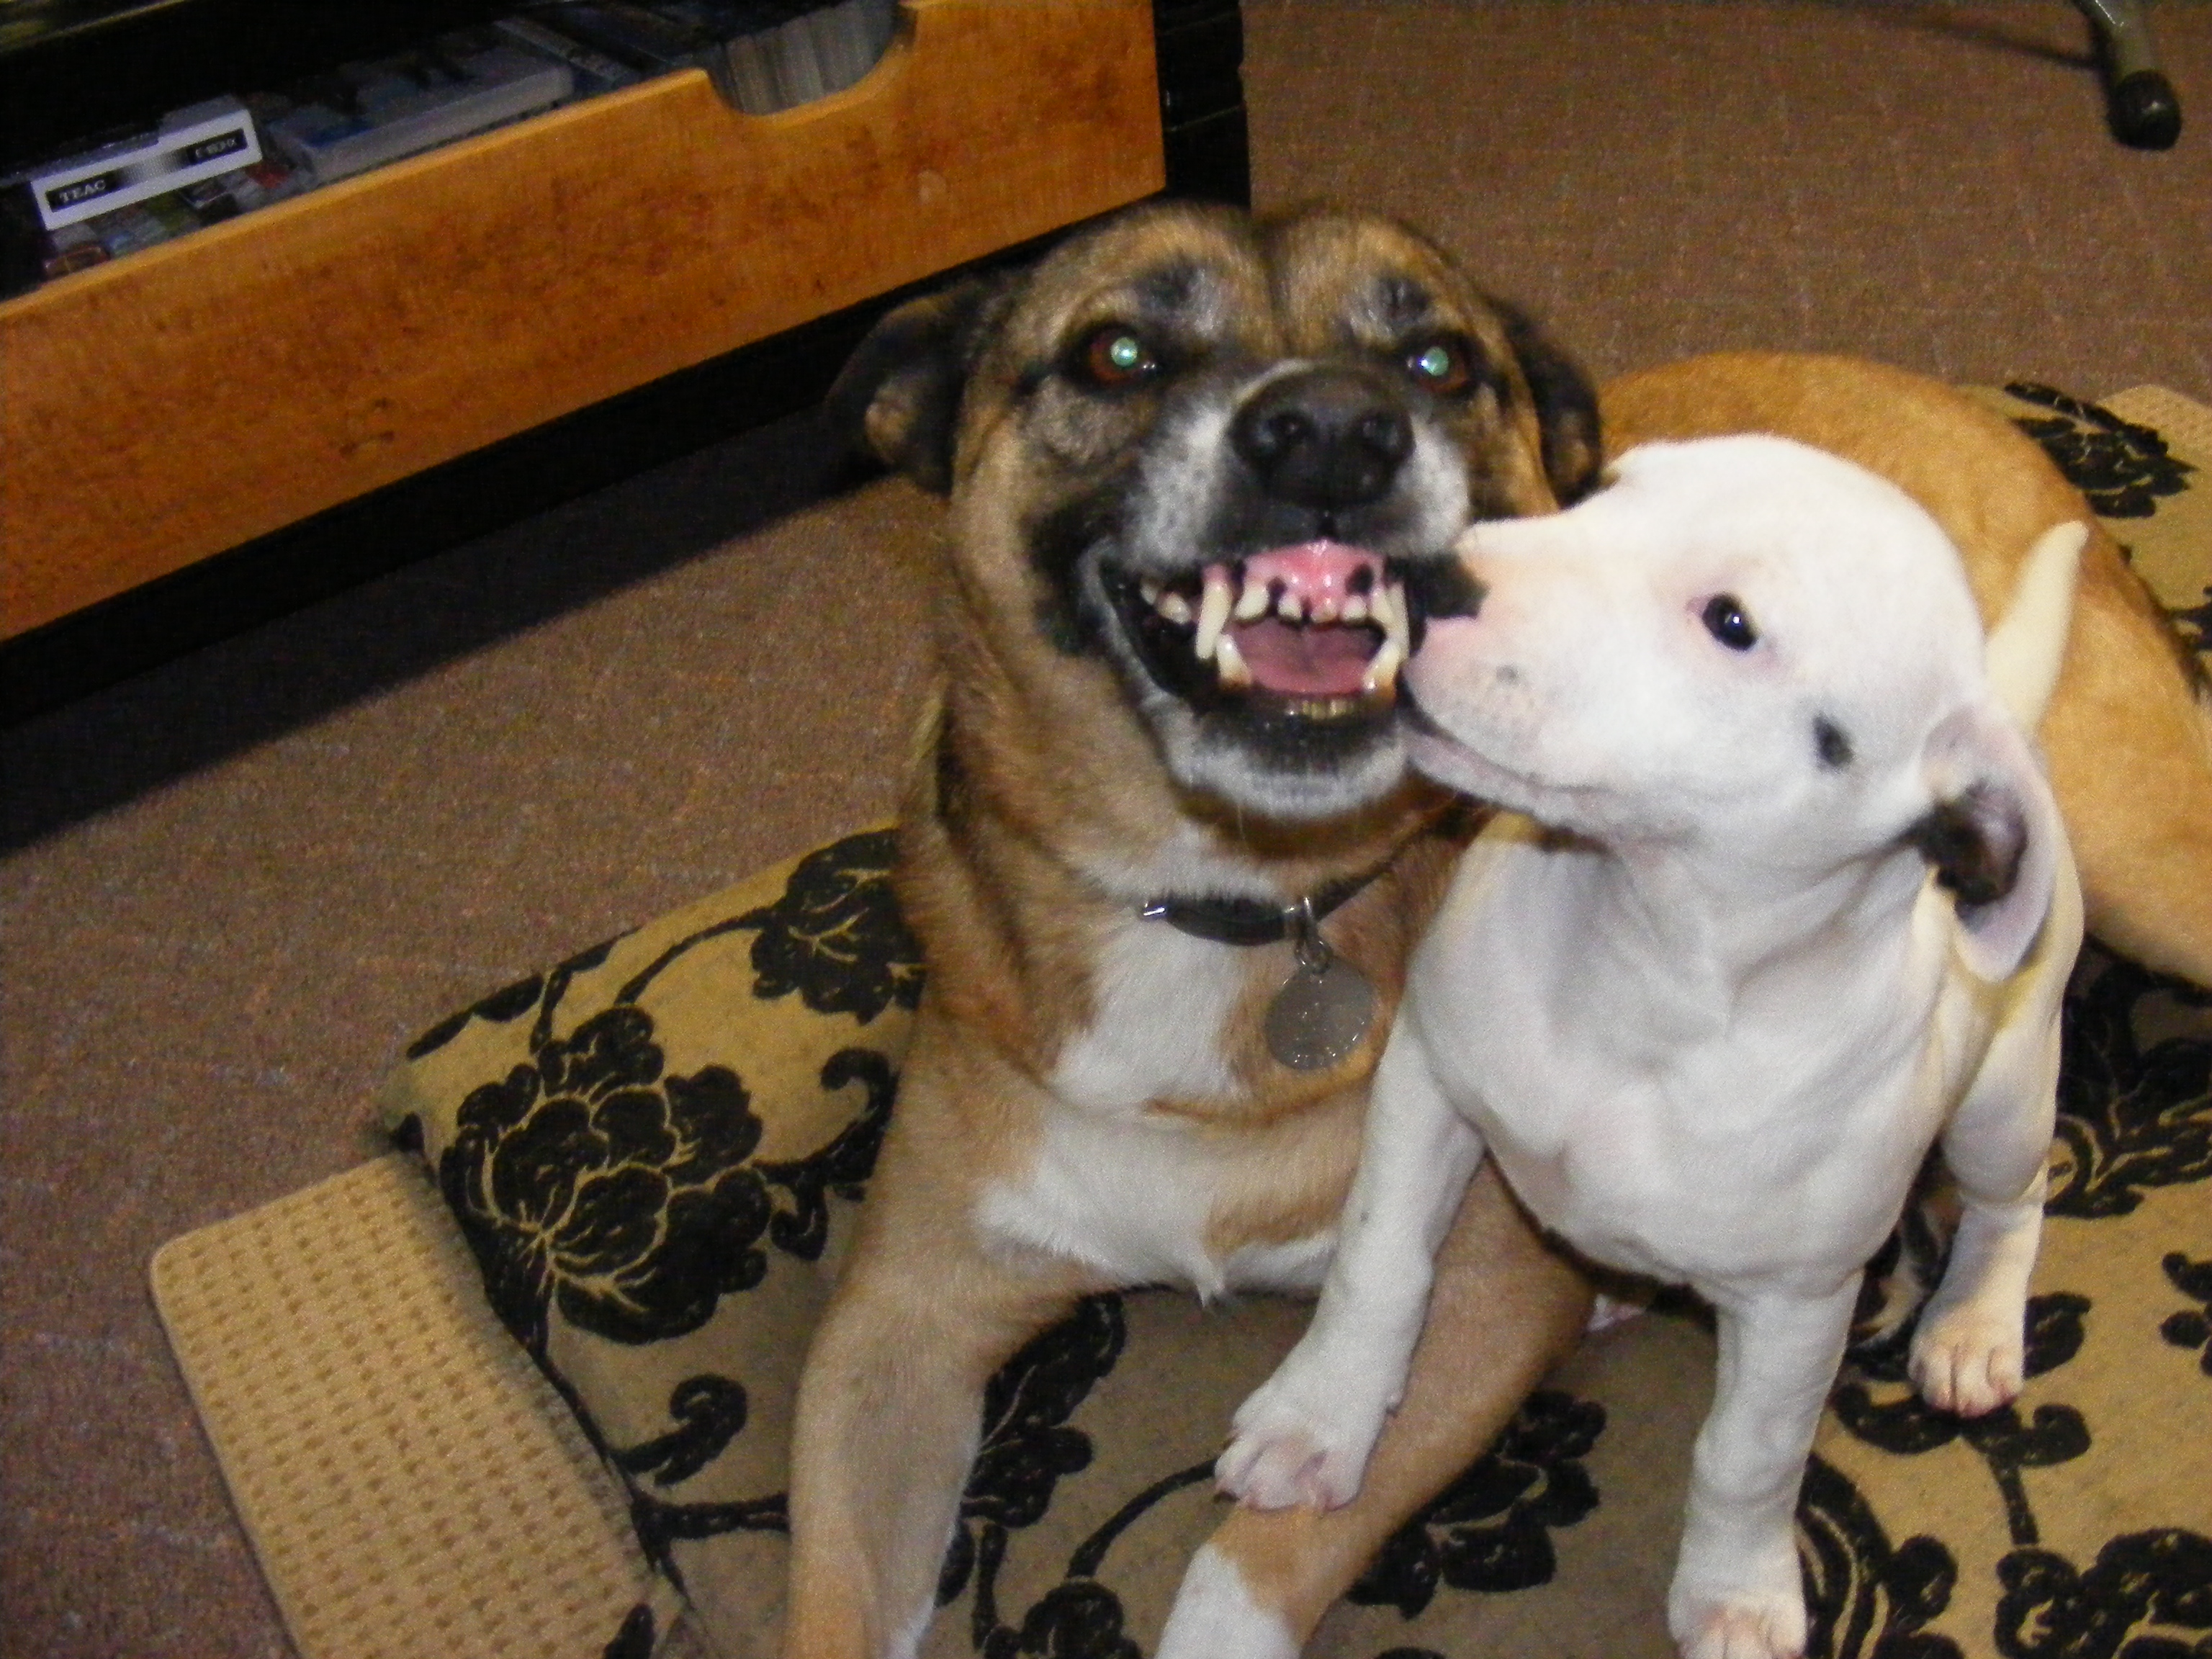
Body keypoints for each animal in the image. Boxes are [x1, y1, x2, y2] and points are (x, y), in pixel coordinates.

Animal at [1220, 438, 2079, 1659]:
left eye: (1731, 622)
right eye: (1600, 493)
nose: (1422, 576)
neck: (1647, 966)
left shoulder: (1802, 1300)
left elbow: (1749, 1455)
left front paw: (1739, 1592)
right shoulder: (1426, 1081)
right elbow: (1378, 1263)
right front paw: (1316, 1419)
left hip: (2002, 1096)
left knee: (2015, 1200)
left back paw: (1971, 1324)